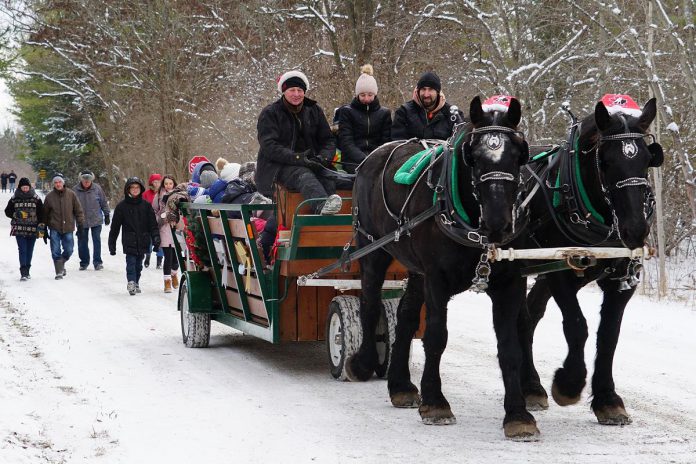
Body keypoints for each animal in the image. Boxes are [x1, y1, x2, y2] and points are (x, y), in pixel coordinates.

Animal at [348, 97, 540, 438]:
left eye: (519, 155)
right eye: (473, 158)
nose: (499, 222)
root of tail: (373, 156)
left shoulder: (510, 283)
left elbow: (510, 346)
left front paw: (517, 414)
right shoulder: (436, 278)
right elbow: (436, 336)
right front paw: (435, 402)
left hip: (415, 269)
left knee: (406, 315)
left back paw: (401, 385)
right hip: (372, 249)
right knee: (369, 304)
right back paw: (363, 362)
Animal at [520, 98, 664, 424]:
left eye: (647, 160)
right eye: (606, 162)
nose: (635, 229)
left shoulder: (622, 280)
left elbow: (609, 334)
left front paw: (607, 399)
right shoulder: (560, 273)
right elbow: (577, 325)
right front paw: (569, 383)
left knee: (529, 315)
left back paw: (531, 386)